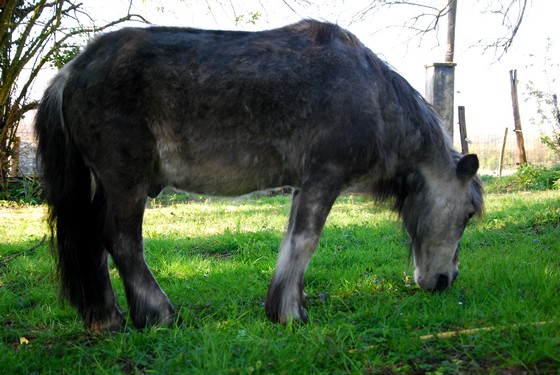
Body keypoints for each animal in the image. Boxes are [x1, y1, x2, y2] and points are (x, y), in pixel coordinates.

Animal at [35, 19, 482, 332]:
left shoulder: (303, 186)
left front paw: (290, 303)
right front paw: (289, 314)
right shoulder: (324, 177)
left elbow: (292, 241)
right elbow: (306, 241)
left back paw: (106, 318)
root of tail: (70, 73)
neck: (371, 94)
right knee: (123, 243)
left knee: (93, 243)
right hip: (125, 183)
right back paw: (158, 315)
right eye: (467, 214)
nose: (446, 279)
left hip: (101, 186)